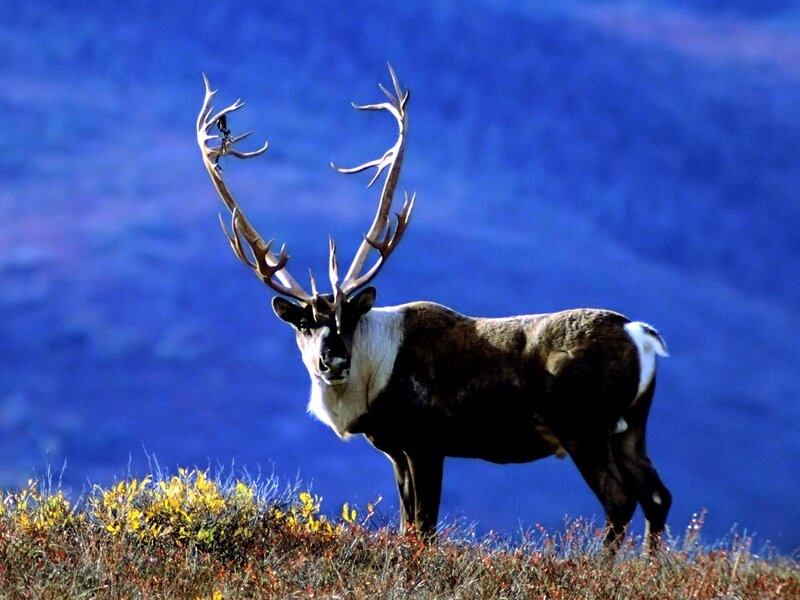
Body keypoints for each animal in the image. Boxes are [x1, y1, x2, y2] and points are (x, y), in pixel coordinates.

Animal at [196, 67, 672, 552]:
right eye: (306, 323)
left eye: (350, 318)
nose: (334, 360)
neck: (371, 379)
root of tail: (639, 333)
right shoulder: (396, 450)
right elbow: (410, 524)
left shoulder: (427, 443)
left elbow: (425, 527)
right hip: (630, 427)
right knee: (657, 496)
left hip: (583, 427)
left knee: (620, 500)